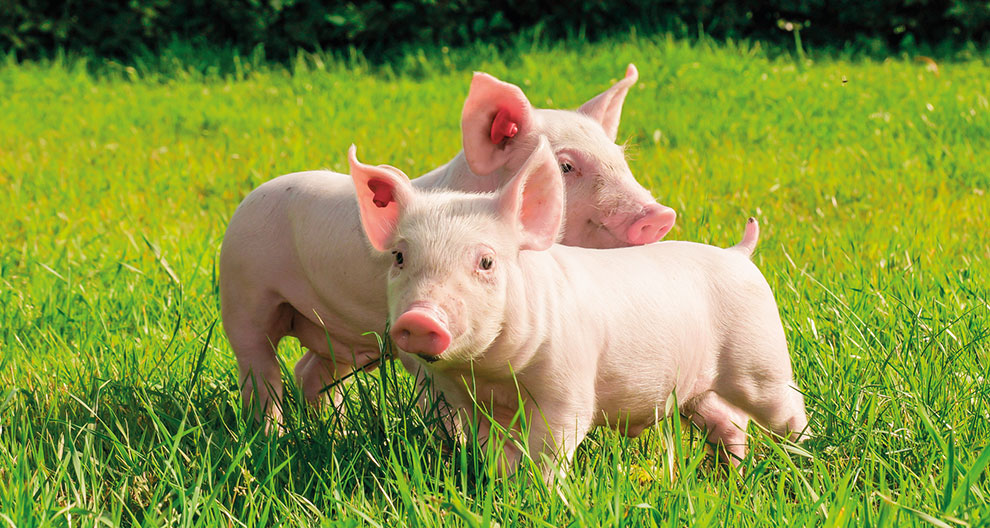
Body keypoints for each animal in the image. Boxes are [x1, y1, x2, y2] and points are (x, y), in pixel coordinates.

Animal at [220, 66, 678, 424]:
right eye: (566, 166)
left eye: (621, 159)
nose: (661, 215)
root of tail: (250, 198)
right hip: (243, 293)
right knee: (259, 368)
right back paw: (270, 436)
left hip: (339, 334)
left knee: (311, 370)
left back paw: (337, 431)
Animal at [348, 136, 809, 477]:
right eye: (399, 257)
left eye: (486, 261)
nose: (419, 318)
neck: (495, 375)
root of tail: (739, 253)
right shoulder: (467, 401)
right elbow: (492, 450)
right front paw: (498, 484)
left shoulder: (567, 385)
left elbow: (549, 447)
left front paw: (537, 494)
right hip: (697, 387)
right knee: (727, 421)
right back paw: (728, 475)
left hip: (761, 360)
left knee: (786, 408)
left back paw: (804, 459)